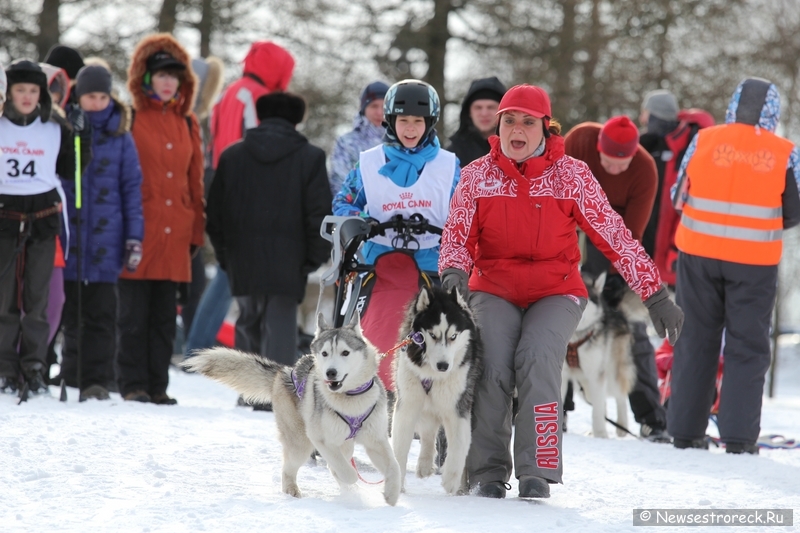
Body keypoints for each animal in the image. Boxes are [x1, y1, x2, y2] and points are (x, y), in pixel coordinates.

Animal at [185, 314, 404, 504]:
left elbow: (394, 466)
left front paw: (392, 494)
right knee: (290, 469)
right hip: (302, 443)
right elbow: (344, 470)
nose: (330, 372)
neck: (350, 398)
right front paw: (351, 479)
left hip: (343, 443)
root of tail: (284, 372)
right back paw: (292, 489)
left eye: (345, 353)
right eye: (324, 353)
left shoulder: (376, 440)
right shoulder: (321, 439)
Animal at [392, 286, 482, 494]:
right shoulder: (407, 403)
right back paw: (425, 464)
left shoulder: (458, 405)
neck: (432, 375)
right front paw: (397, 484)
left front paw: (451, 479)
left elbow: (458, 443)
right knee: (427, 431)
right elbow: (400, 445)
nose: (443, 366)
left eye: (453, 336)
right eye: (432, 335)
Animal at [564, 272, 636, 438]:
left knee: (620, 396)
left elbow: (597, 410)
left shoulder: (596, 374)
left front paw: (601, 434)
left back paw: (621, 427)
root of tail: (616, 311)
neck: (574, 341)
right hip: (585, 384)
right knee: (601, 401)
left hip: (611, 372)